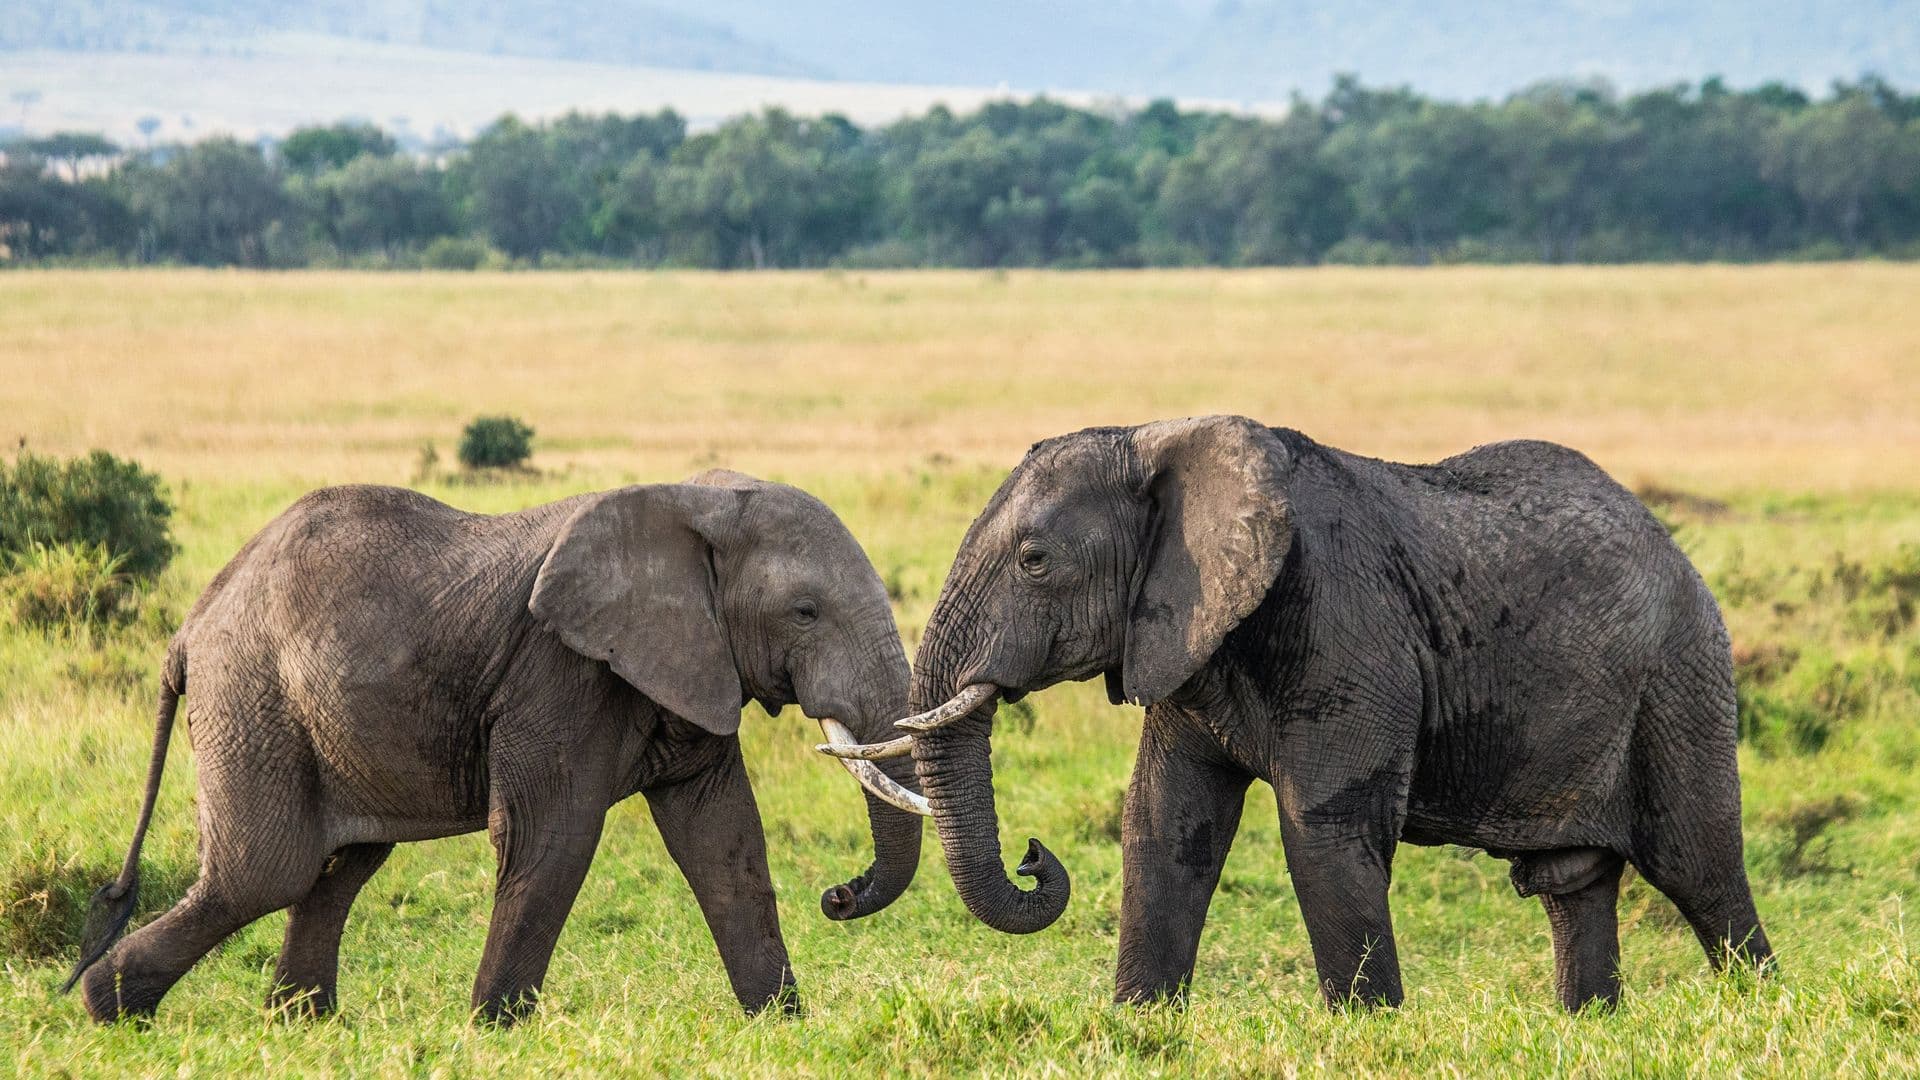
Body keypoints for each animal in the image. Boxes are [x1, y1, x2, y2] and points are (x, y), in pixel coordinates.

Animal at [65, 469, 928, 1024]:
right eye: (806, 612)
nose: (840, 894)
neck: (691, 501)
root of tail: (190, 626)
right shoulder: (559, 673)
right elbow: (555, 837)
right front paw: (494, 1031)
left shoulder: (691, 666)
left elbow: (724, 840)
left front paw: (782, 1025)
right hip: (254, 697)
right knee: (264, 872)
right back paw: (111, 1009)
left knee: (337, 868)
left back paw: (299, 1023)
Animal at [835, 415, 1774, 1012]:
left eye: (1034, 561)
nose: (1034, 857)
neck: (1157, 437)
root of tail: (1675, 550)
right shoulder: (1184, 635)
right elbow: (1164, 823)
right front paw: (1139, 1030)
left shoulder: (1345, 628)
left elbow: (1322, 827)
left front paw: (1372, 1033)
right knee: (1572, 882)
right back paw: (1588, 1026)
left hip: (1680, 678)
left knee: (1700, 868)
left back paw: (1757, 1010)